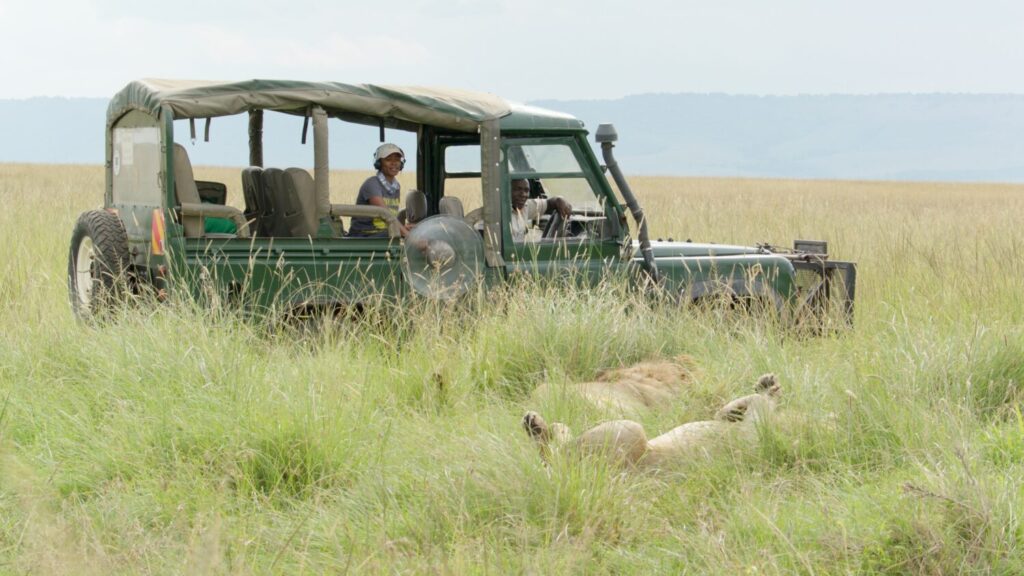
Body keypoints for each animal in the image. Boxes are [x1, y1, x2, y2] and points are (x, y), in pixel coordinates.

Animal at [523, 373, 781, 470]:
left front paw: (768, 387)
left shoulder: (757, 421)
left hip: (630, 429)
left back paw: (537, 425)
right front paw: (767, 383)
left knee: (555, 455)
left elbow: (749, 403)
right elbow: (723, 411)